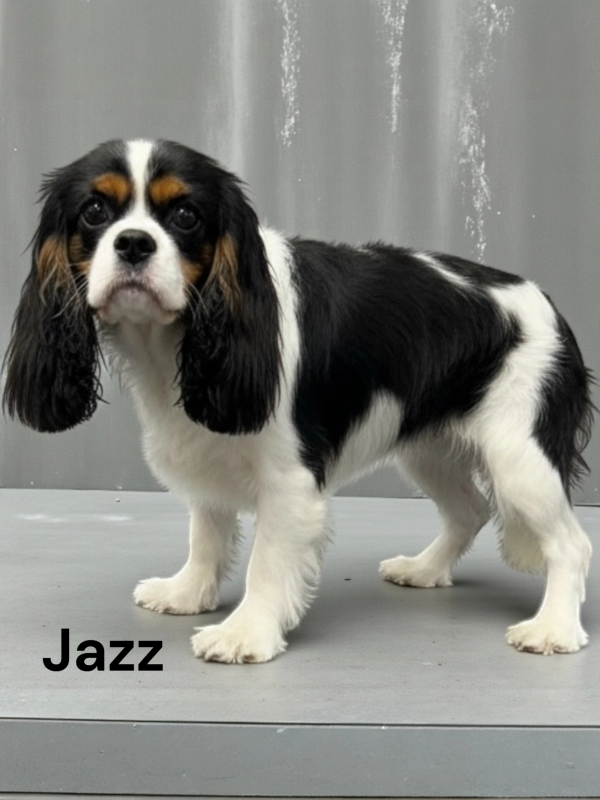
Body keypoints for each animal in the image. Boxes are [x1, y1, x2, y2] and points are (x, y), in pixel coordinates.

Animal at [3, 139, 594, 662]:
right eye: (95, 210)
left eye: (186, 216)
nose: (132, 243)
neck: (174, 338)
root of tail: (548, 304)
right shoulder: (206, 444)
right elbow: (206, 532)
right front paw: (187, 593)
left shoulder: (289, 481)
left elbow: (266, 561)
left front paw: (244, 633)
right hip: (430, 449)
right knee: (470, 510)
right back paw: (425, 570)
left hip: (518, 455)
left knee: (571, 544)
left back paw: (553, 629)